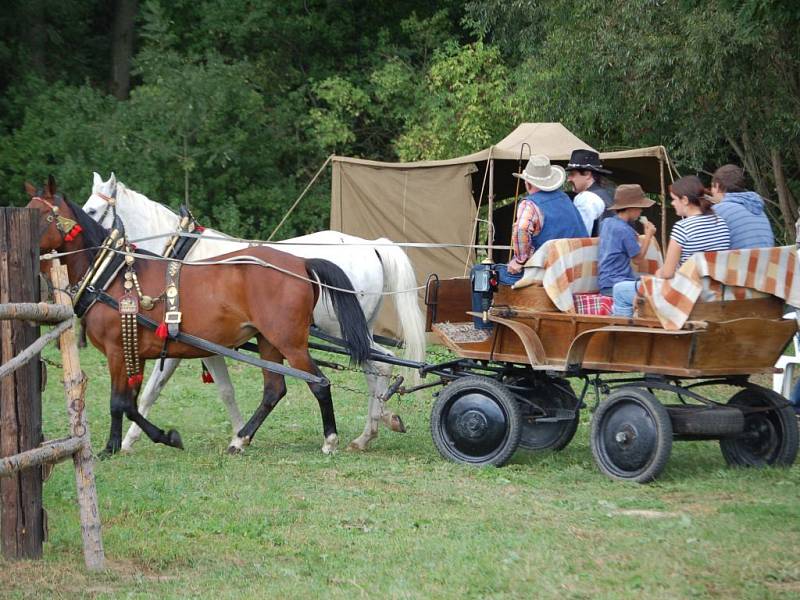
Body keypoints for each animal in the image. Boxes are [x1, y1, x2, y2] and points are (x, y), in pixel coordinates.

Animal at [83, 171, 428, 452]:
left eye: (92, 211)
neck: (181, 255)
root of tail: (371, 245)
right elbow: (166, 390)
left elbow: (165, 390)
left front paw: (130, 440)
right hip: (357, 328)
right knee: (379, 364)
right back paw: (373, 428)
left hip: (338, 329)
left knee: (377, 365)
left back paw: (369, 429)